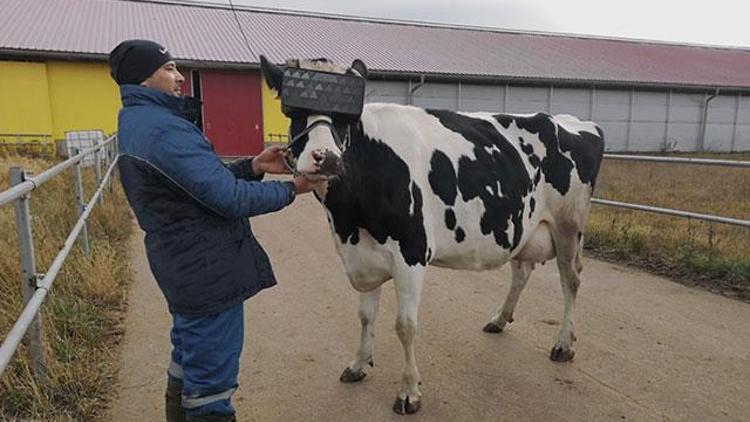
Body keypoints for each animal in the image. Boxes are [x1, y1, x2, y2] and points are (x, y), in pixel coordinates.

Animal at [260, 56, 604, 416]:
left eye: (347, 118)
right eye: (293, 112)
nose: (325, 157)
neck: (348, 219)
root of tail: (574, 121)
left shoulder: (411, 253)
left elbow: (405, 326)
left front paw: (409, 392)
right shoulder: (361, 256)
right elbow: (366, 316)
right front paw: (358, 365)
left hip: (569, 226)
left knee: (571, 280)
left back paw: (563, 344)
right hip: (523, 226)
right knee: (522, 270)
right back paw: (499, 319)